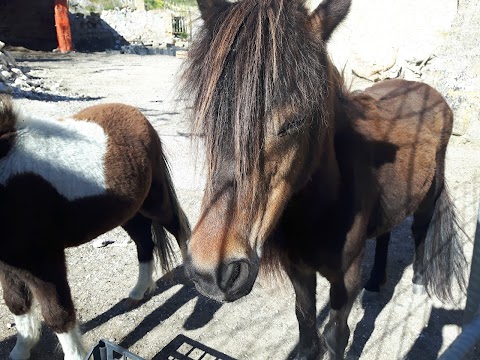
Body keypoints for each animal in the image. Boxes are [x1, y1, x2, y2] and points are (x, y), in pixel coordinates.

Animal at [0, 95, 191, 360]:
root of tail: (138, 116)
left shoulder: (44, 263)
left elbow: (57, 315)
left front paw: (75, 355)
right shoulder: (10, 264)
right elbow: (17, 303)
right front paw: (20, 351)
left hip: (155, 202)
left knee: (178, 227)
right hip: (129, 213)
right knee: (144, 242)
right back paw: (139, 291)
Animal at [183, 1, 464, 358]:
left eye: (295, 121)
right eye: (209, 115)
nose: (210, 272)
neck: (323, 209)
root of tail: (427, 89)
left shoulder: (346, 279)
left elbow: (336, 334)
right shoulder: (299, 271)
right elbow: (305, 321)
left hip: (430, 193)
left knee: (419, 231)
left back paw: (417, 282)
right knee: (386, 232)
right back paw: (377, 281)